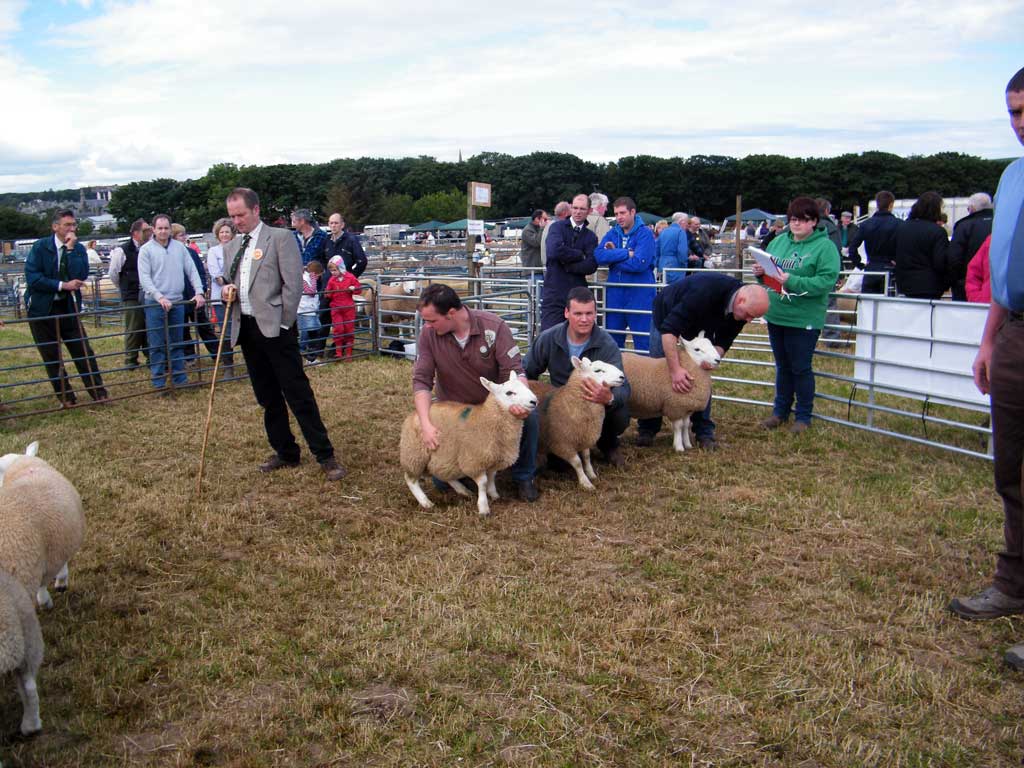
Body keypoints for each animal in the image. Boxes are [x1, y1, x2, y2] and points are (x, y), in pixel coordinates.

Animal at [399, 372, 540, 518]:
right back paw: (425, 502)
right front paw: (483, 507)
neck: (485, 419)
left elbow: (491, 476)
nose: (534, 401)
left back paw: (462, 490)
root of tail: (414, 414)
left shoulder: (494, 458)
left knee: (439, 471)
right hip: (415, 454)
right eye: (509, 392)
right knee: (410, 479)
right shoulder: (474, 460)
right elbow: (483, 483)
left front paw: (494, 494)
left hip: (443, 454)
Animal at [528, 356, 622, 493]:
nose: (622, 376)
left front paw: (591, 474)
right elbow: (577, 462)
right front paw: (585, 482)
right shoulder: (562, 443)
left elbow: (586, 457)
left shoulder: (584, 436)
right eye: (598, 370)